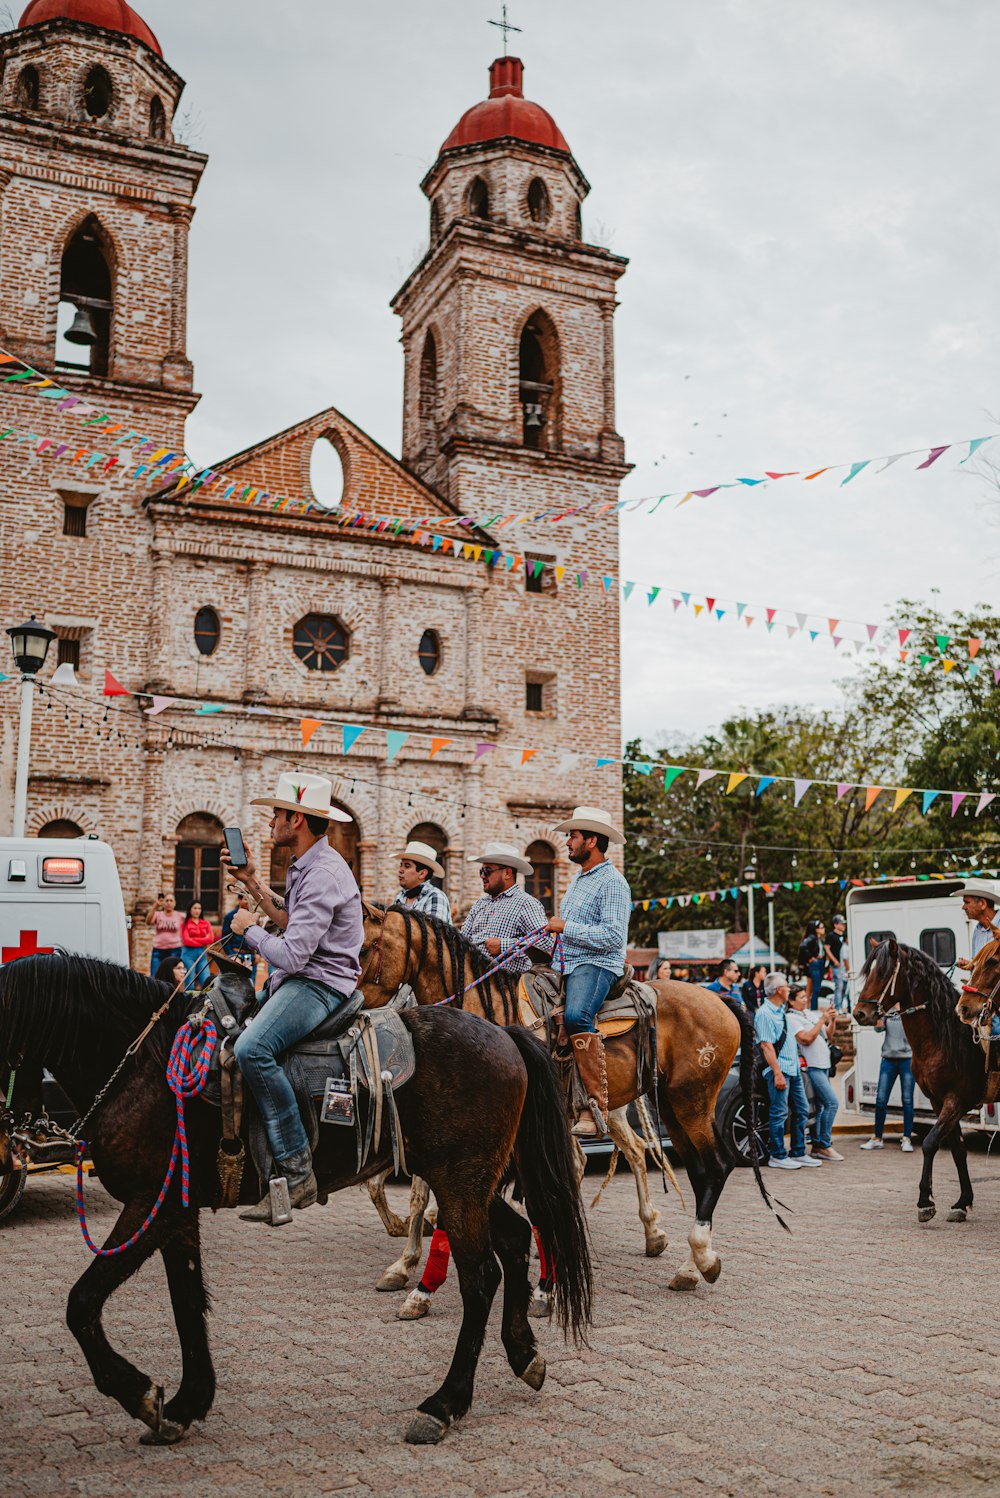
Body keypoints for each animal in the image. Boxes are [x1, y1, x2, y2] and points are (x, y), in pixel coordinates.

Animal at [0, 952, 592, 1444]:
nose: (16, 1143)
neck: (144, 1068)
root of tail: (506, 1035)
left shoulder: (151, 1205)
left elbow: (83, 1302)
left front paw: (143, 1396)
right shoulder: (177, 1212)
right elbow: (186, 1301)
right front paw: (187, 1404)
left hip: (461, 1182)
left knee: (481, 1276)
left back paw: (443, 1404)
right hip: (466, 1182)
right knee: (515, 1238)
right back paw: (523, 1353)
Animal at [354, 898, 778, 1300]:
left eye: (361, 947)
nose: (350, 1009)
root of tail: (721, 1001)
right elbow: (422, 1193)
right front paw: (406, 1265)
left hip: (692, 1103)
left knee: (713, 1166)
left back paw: (697, 1258)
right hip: (672, 1107)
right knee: (687, 1168)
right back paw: (682, 1261)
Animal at [850, 940, 982, 1222]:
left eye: (882, 973)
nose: (859, 1013)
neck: (946, 1037)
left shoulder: (956, 1099)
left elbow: (931, 1143)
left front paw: (925, 1201)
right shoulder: (938, 1101)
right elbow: (958, 1150)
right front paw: (962, 1201)